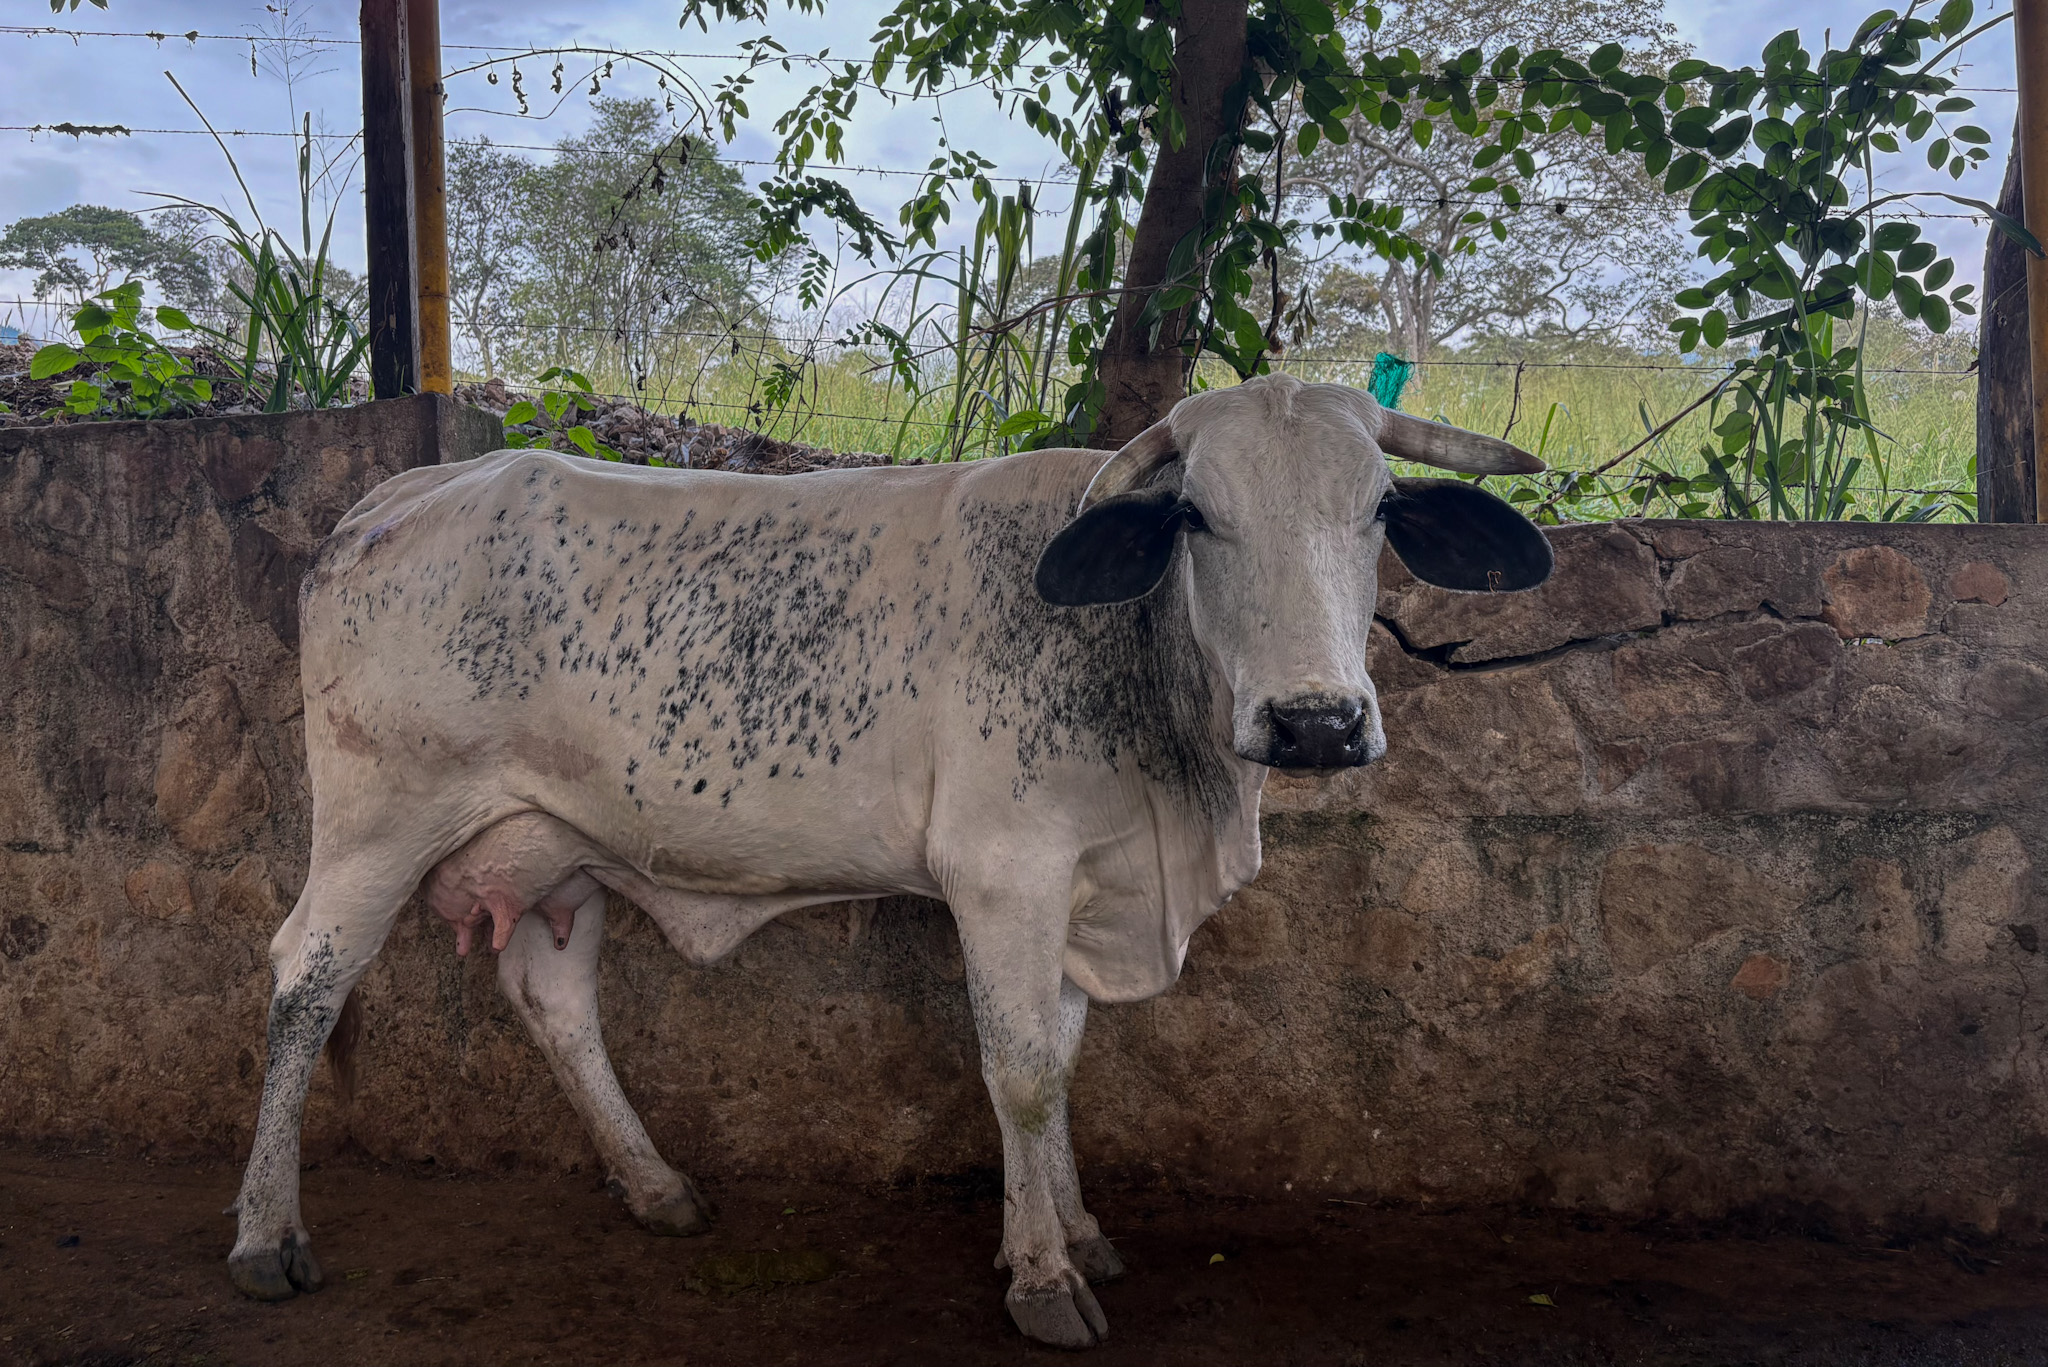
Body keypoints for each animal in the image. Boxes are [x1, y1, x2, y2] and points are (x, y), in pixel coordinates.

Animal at [225, 372, 1552, 1348]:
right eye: (1194, 514)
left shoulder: (1080, 885)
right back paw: (265, 1233)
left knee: (552, 999)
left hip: (562, 850)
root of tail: (400, 492)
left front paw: (1076, 1226)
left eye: (1377, 509)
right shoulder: (1005, 873)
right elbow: (1020, 1072)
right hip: (378, 819)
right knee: (305, 979)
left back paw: (655, 1185)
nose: (1314, 721)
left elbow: (1064, 1058)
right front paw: (1040, 1274)